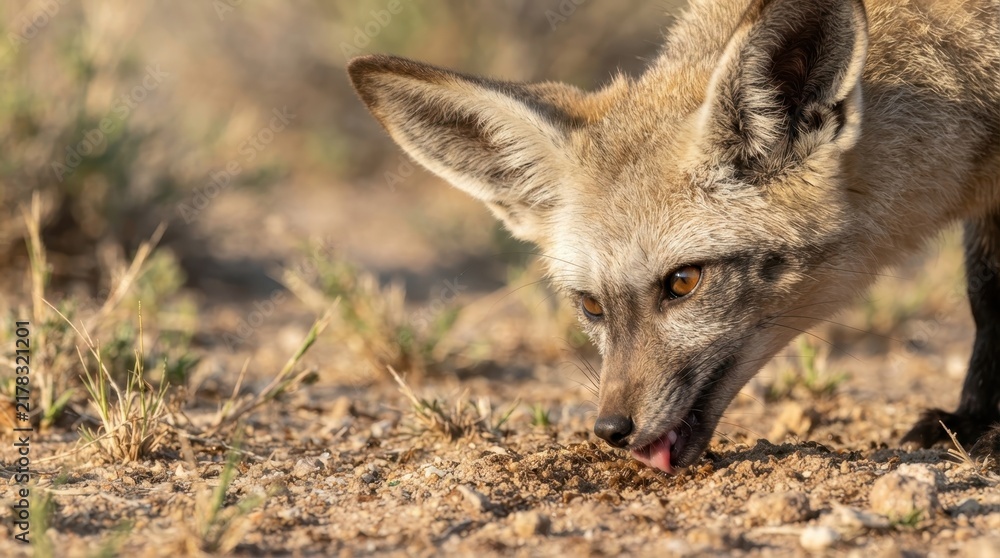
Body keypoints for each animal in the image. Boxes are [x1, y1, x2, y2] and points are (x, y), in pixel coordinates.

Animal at [347, 0, 1000, 473]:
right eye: (590, 305)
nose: (611, 431)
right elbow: (987, 295)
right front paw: (973, 420)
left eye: (683, 282)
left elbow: (985, 297)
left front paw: (978, 426)